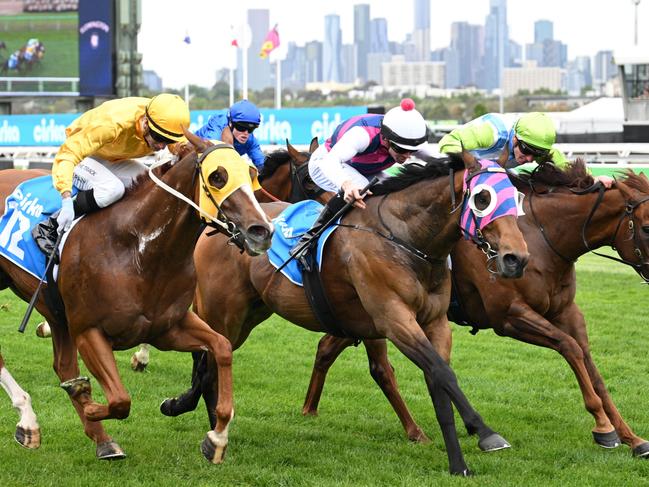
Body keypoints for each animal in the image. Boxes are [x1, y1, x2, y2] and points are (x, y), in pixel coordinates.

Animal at [0, 135, 274, 464]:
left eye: (252, 174)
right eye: (217, 177)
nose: (262, 231)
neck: (139, 250)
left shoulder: (168, 328)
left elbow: (221, 348)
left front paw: (216, 437)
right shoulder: (88, 330)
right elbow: (120, 400)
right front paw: (88, 404)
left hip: (57, 314)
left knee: (63, 365)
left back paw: (98, 438)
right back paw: (28, 419)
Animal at [159, 152, 528, 476]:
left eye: (517, 196)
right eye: (483, 198)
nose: (517, 258)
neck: (407, 240)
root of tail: (221, 228)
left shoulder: (435, 323)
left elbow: (438, 380)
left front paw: (457, 463)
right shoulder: (394, 320)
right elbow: (443, 374)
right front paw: (486, 433)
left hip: (251, 313)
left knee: (210, 360)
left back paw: (204, 424)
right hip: (224, 313)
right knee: (208, 360)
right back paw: (206, 426)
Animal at [298, 162, 648, 460]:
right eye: (646, 227)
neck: (542, 237)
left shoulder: (567, 313)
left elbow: (591, 367)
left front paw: (631, 437)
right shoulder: (510, 316)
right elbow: (570, 348)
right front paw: (603, 427)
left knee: (328, 346)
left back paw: (310, 409)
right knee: (370, 363)